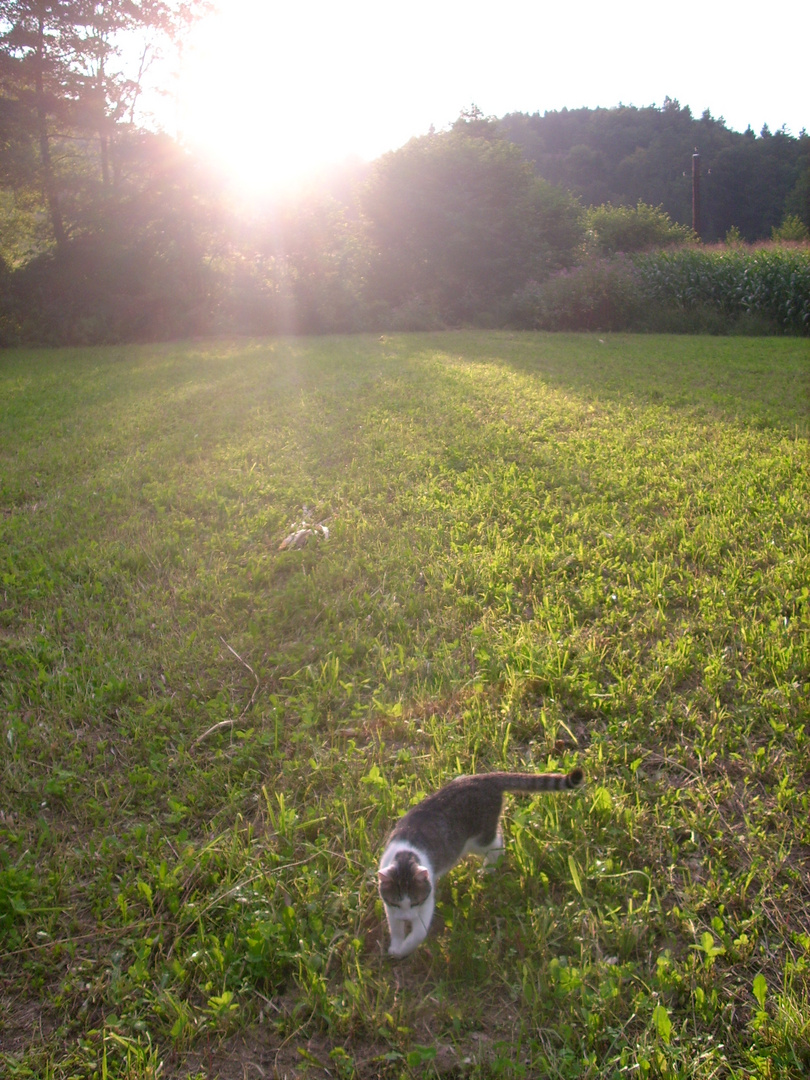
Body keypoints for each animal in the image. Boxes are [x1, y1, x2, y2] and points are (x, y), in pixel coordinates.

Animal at [378, 764, 587, 959]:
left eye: (415, 902)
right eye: (396, 903)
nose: (406, 918)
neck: (405, 856)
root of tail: (485, 778)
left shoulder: (427, 899)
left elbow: (418, 933)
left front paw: (403, 949)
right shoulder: (389, 905)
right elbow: (394, 927)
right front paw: (396, 946)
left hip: (478, 839)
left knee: (498, 844)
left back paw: (487, 870)